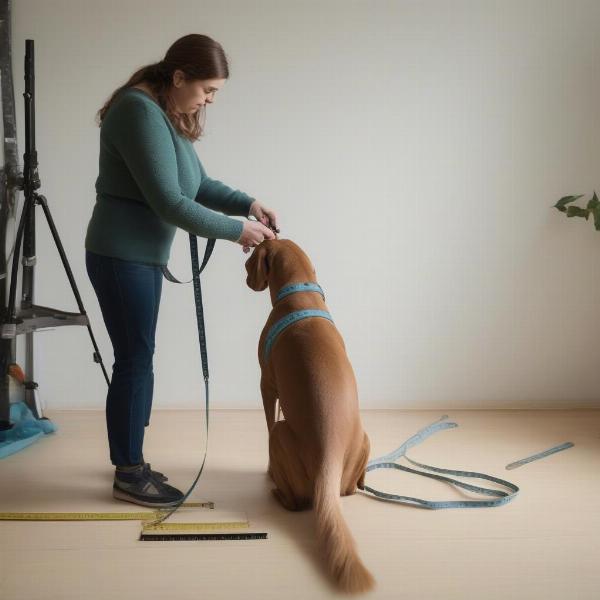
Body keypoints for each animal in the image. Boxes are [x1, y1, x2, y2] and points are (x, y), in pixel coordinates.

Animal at [244, 237, 376, 592]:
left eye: (249, 263)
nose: (246, 279)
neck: (298, 291)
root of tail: (329, 456)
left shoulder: (266, 384)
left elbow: (266, 418)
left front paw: (266, 470)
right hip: (365, 440)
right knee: (351, 488)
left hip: (280, 434)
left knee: (293, 502)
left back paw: (276, 490)